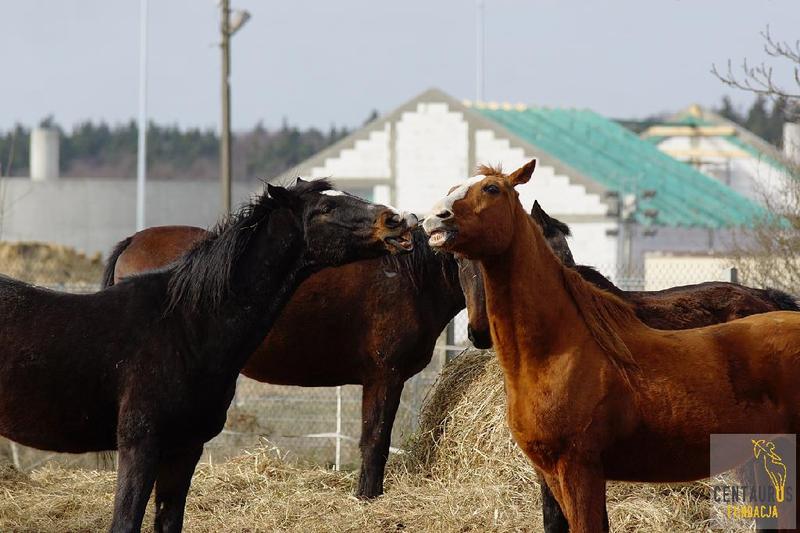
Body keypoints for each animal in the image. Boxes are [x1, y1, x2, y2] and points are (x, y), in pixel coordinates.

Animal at [428, 159, 800, 532]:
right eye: (459, 264)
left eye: (492, 189)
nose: (435, 218)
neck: (557, 350)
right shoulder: (550, 473)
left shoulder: (579, 469)